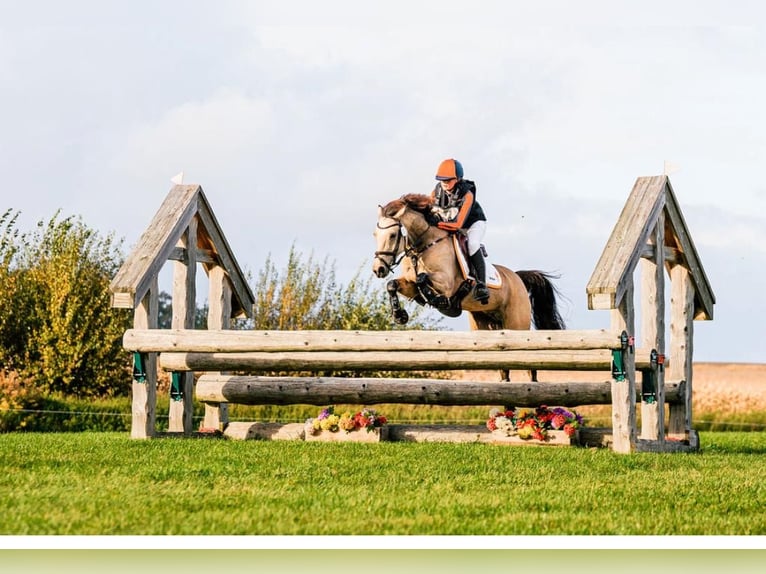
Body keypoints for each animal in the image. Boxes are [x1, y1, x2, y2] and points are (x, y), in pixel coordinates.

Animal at [376, 195, 568, 382]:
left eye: (392, 235)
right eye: (375, 234)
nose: (378, 269)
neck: (425, 245)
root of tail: (517, 277)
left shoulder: (447, 284)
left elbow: (422, 278)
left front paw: (441, 303)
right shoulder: (409, 285)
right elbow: (393, 284)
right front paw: (399, 315)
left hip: (517, 325)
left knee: (529, 366)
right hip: (486, 325)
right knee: (503, 367)